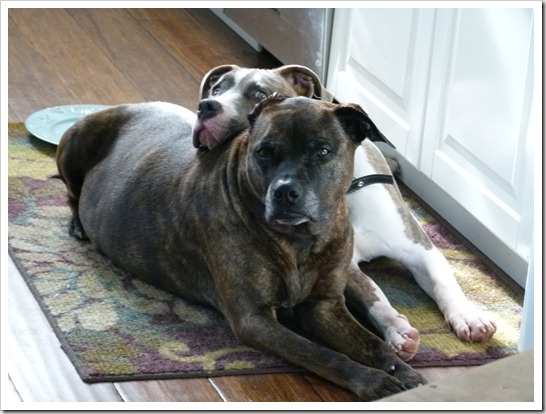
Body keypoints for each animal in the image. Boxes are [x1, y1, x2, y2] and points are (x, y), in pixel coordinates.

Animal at [56, 95, 428, 400]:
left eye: (322, 151)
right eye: (264, 152)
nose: (285, 191)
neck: (299, 241)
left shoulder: (324, 306)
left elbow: (370, 343)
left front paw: (402, 370)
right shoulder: (254, 319)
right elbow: (322, 354)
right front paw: (373, 380)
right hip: (77, 141)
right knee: (71, 192)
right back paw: (78, 224)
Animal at [195, 65, 497, 361]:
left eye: (259, 94)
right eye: (217, 88)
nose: (207, 106)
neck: (344, 192)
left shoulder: (420, 248)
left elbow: (444, 282)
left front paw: (468, 317)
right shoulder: (345, 264)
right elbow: (373, 293)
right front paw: (396, 328)